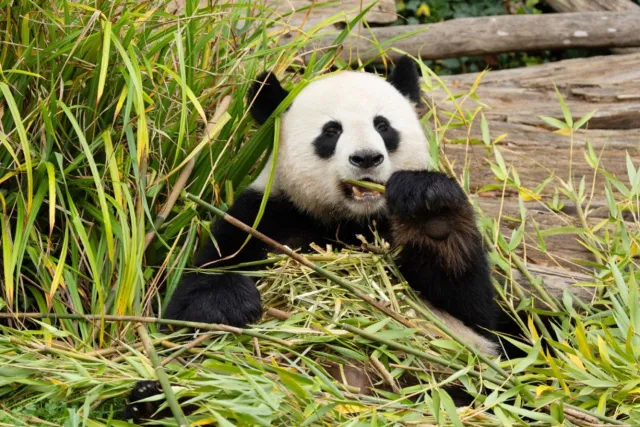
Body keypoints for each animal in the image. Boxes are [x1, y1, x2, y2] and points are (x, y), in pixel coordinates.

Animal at [125, 56, 509, 422]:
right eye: (331, 131)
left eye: (383, 126)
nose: (366, 158)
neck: (348, 221)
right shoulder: (261, 218)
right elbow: (184, 306)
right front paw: (230, 302)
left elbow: (474, 312)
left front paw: (431, 213)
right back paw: (154, 402)